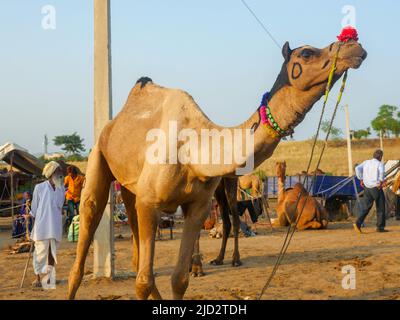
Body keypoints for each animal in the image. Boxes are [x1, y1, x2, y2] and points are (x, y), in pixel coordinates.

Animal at [68, 37, 366, 300]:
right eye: (306, 53)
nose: (354, 45)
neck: (194, 148)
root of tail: (111, 125)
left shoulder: (196, 206)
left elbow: (179, 278)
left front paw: (194, 270)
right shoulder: (151, 202)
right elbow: (142, 282)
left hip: (131, 190)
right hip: (99, 161)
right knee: (87, 232)